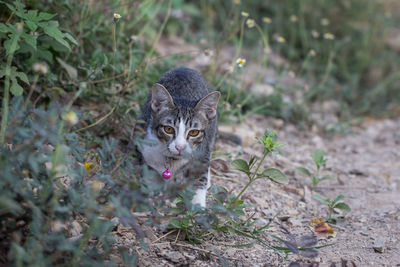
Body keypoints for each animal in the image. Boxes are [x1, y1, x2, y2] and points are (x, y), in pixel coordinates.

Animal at [137, 68, 219, 208]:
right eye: (168, 129)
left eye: (194, 132)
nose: (179, 147)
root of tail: (185, 68)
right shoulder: (146, 148)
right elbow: (149, 175)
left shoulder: (202, 151)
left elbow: (200, 175)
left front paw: (198, 204)